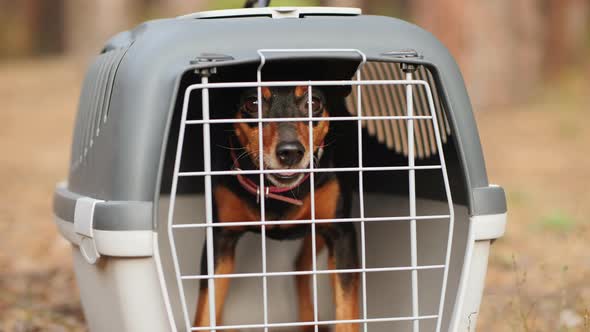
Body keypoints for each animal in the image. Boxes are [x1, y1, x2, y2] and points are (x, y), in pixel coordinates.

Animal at [195, 84, 360, 330]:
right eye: (252, 102)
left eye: (314, 102)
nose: (291, 152)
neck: (279, 192)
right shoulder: (220, 239)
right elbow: (206, 309)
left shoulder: (340, 234)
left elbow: (347, 311)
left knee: (301, 267)